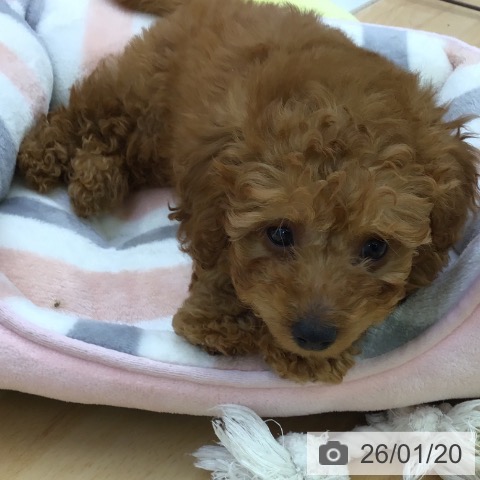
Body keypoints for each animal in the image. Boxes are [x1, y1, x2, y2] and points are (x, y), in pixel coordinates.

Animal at [17, 0, 479, 383]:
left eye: (376, 247)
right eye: (279, 234)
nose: (314, 336)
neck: (341, 105)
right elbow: (226, 300)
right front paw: (286, 350)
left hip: (153, 144)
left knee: (115, 145)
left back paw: (94, 179)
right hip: (142, 92)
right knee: (87, 111)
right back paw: (43, 156)